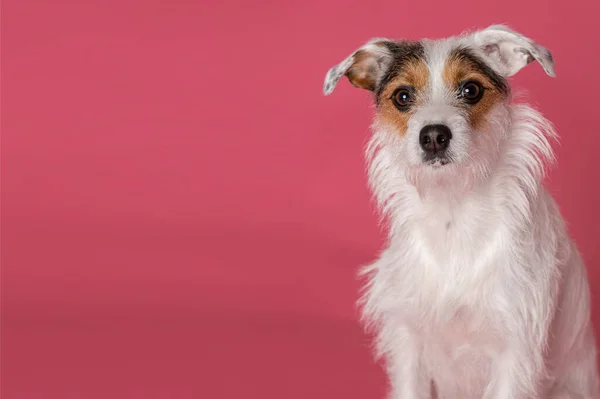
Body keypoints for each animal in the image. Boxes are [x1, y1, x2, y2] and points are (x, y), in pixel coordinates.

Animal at [324, 25, 600, 399]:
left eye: (471, 90)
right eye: (403, 97)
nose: (434, 136)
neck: (452, 209)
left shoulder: (515, 351)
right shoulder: (408, 340)